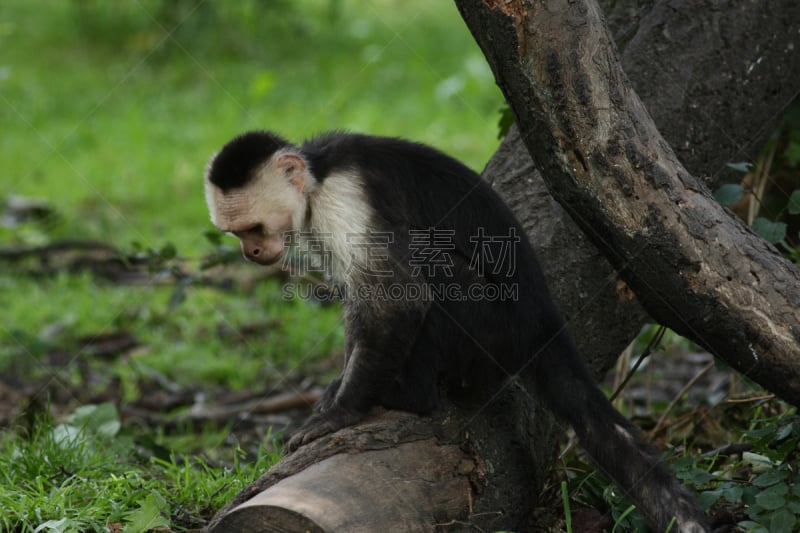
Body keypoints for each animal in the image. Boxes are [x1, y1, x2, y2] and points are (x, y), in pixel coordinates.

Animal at [203, 130, 708, 532]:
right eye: (236, 234)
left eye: (253, 227)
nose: (250, 252)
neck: (317, 177)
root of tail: (543, 316)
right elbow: (359, 302)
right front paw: (337, 387)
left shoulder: (343, 200)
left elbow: (398, 299)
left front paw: (341, 413)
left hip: (495, 325)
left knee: (431, 266)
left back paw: (413, 396)